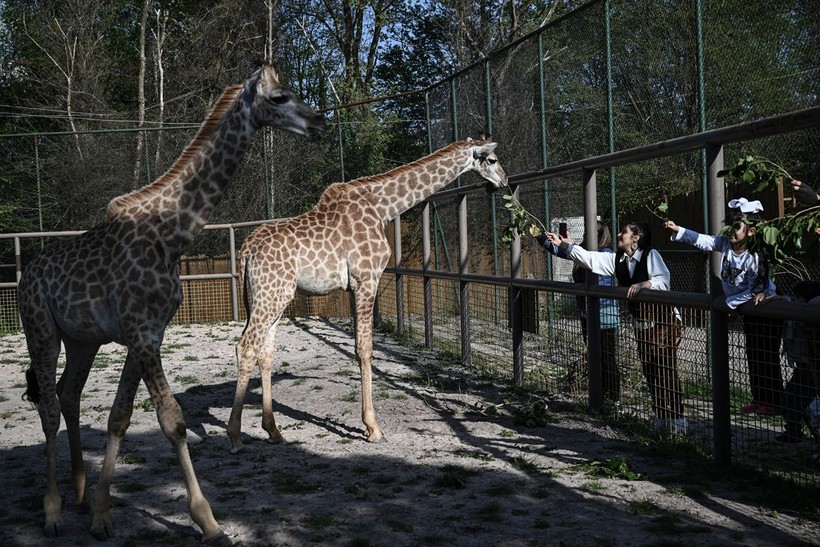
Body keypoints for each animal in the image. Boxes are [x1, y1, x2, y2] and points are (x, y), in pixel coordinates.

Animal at [17, 64, 326, 544]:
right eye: (279, 97)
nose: (319, 124)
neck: (171, 237)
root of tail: (24, 276)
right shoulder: (142, 335)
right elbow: (172, 420)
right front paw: (208, 520)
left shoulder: (145, 335)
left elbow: (120, 417)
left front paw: (102, 514)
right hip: (40, 330)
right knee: (48, 407)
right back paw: (52, 510)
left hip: (82, 340)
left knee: (69, 394)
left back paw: (80, 490)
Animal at [224, 138, 506, 454]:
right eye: (493, 159)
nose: (504, 181)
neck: (383, 207)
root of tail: (246, 251)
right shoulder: (367, 279)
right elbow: (364, 349)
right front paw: (372, 427)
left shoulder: (353, 286)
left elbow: (359, 346)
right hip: (271, 295)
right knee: (245, 347)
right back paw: (235, 436)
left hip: (273, 296)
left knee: (266, 352)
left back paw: (274, 431)